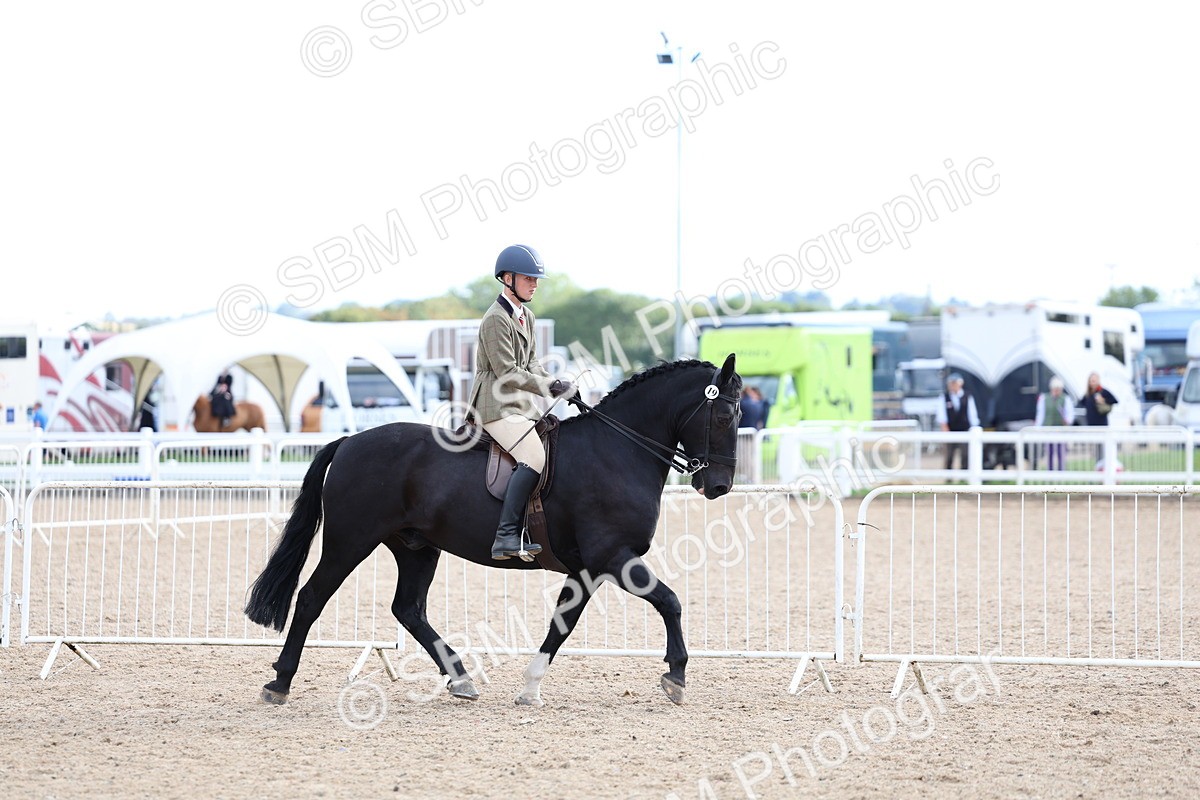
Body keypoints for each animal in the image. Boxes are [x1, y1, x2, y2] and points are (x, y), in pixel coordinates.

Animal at [244, 355, 742, 707]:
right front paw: (676, 676)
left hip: (416, 548)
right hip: (350, 541)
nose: (718, 486)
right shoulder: (613, 557)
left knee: (409, 609)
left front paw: (530, 689)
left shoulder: (587, 569)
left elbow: (562, 624)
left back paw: (461, 679)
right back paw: (280, 681)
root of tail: (350, 441)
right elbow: (670, 601)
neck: (617, 449)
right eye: (723, 418)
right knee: (311, 598)